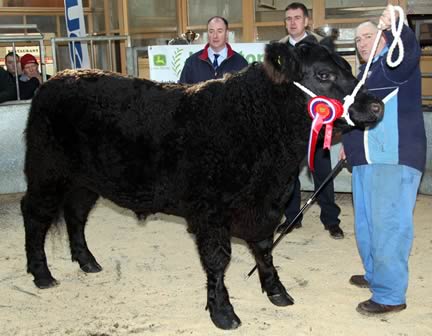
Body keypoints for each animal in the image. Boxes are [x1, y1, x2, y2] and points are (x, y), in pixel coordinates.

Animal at [22, 40, 384, 330]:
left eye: (349, 68)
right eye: (323, 75)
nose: (376, 105)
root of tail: (59, 78)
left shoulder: (266, 206)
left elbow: (264, 249)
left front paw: (276, 291)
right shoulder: (210, 211)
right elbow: (218, 259)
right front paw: (223, 312)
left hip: (85, 181)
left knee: (76, 215)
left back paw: (87, 261)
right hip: (46, 172)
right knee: (35, 216)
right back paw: (42, 274)